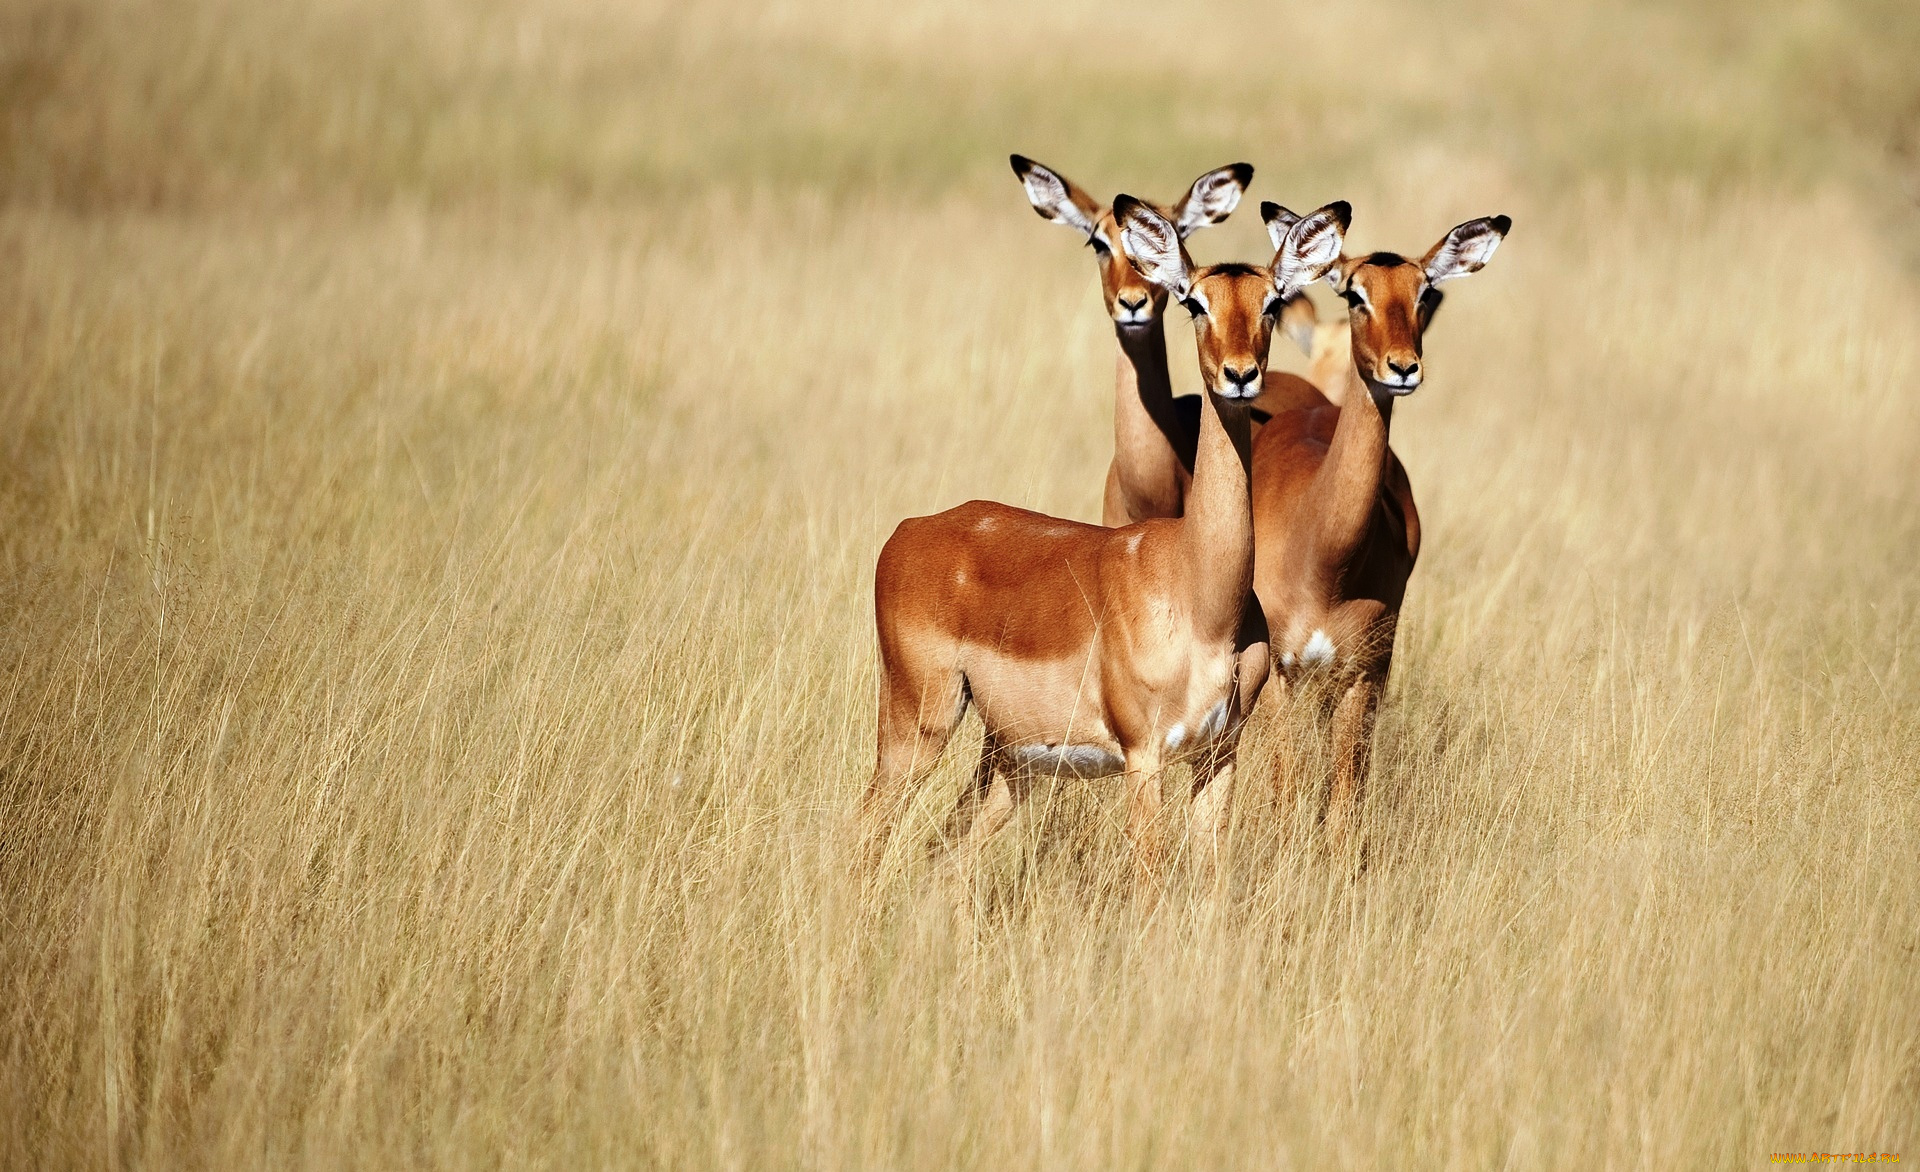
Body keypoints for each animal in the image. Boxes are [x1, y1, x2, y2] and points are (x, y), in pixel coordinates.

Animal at [867, 198, 1351, 883]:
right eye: (1195, 302)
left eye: (1271, 302)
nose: (1240, 375)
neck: (1203, 599)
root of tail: (911, 529)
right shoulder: (1143, 759)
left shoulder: (1219, 757)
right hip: (918, 728)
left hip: (1007, 761)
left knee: (947, 853)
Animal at [1244, 205, 1512, 849]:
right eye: (1354, 291)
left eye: (1423, 290)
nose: (1403, 367)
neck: (1325, 556)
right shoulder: (1280, 674)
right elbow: (1284, 797)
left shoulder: (1365, 674)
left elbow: (1345, 808)